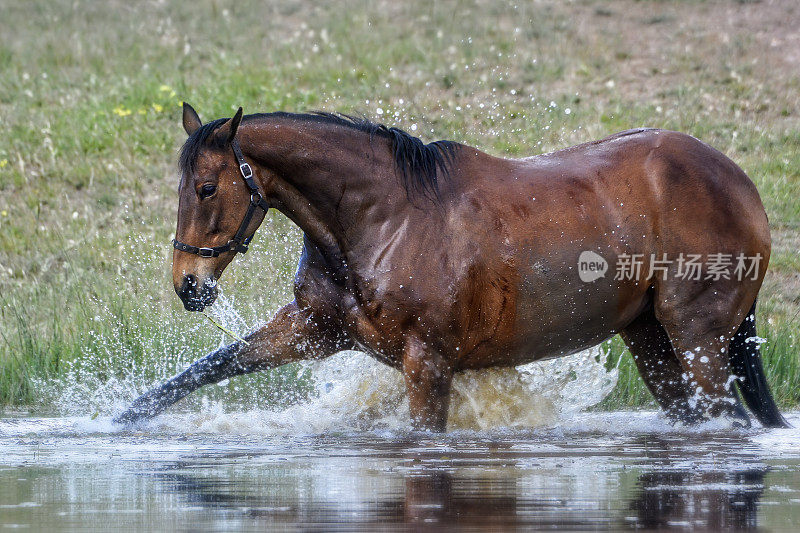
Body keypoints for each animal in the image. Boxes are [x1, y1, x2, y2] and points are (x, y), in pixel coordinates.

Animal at [112, 102, 788, 430]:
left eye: (206, 188)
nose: (189, 286)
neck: (382, 220)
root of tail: (739, 183)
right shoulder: (313, 328)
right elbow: (203, 370)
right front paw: (116, 421)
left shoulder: (428, 362)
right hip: (650, 339)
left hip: (697, 336)